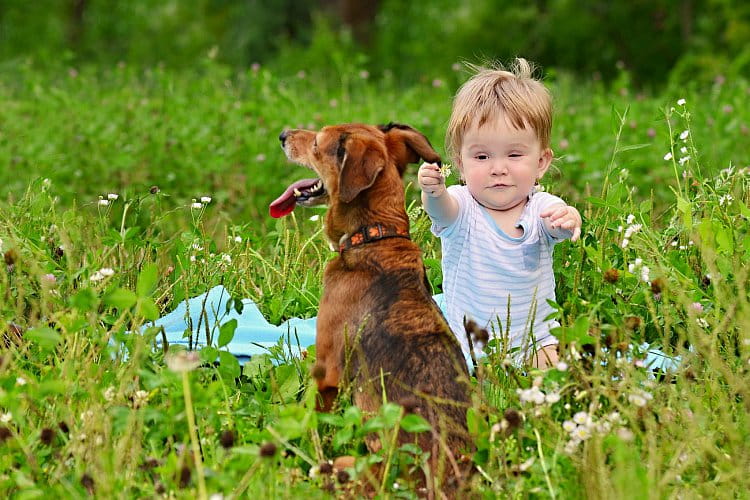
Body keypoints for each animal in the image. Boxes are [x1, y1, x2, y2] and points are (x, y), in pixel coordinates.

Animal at [274, 124, 472, 492]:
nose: (283, 135)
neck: (375, 235)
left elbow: (311, 414)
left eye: (317, 142)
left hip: (349, 463)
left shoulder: (327, 371)